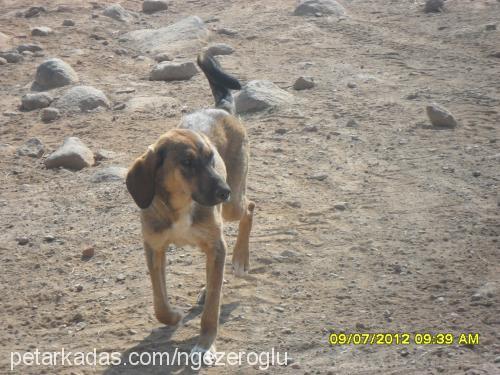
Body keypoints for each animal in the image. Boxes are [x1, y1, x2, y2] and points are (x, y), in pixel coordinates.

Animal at [126, 51, 254, 356]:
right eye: (186, 162)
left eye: (211, 158)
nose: (223, 191)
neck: (181, 206)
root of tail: (221, 108)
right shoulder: (154, 247)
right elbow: (159, 300)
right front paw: (173, 316)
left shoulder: (215, 244)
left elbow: (213, 309)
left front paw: (205, 342)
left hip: (233, 206)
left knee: (250, 208)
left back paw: (240, 260)